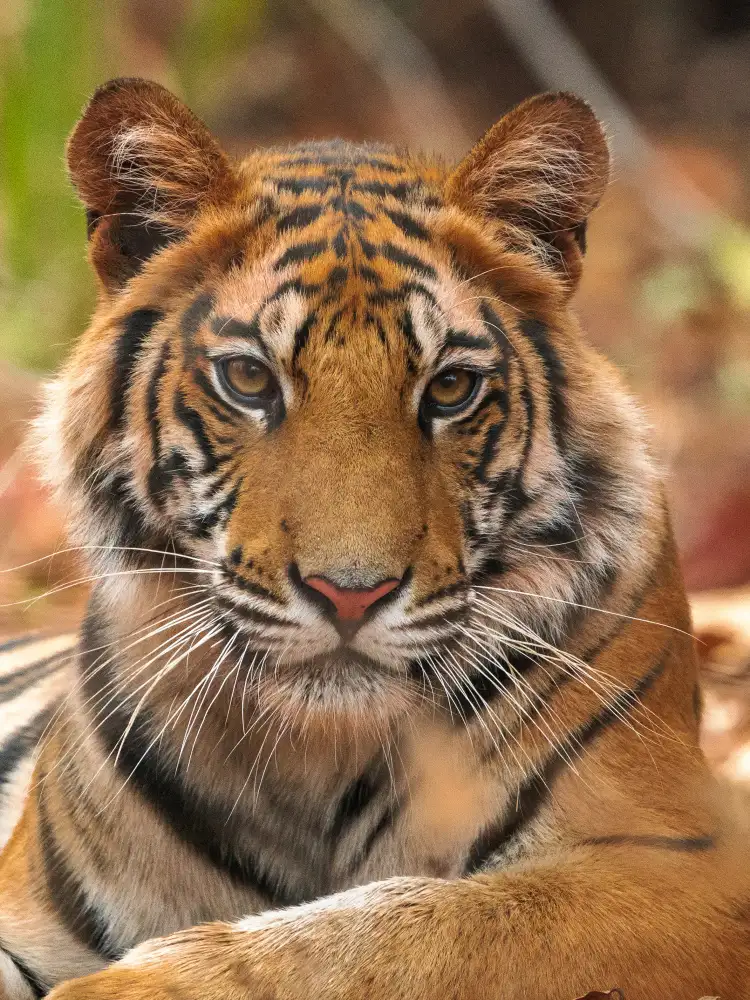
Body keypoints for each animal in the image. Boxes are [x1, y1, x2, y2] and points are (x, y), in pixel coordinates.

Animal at [0, 77, 748, 1000]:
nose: (349, 595)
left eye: (451, 389)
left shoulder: (681, 864)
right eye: (248, 379)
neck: (315, 756)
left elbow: (409, 928)